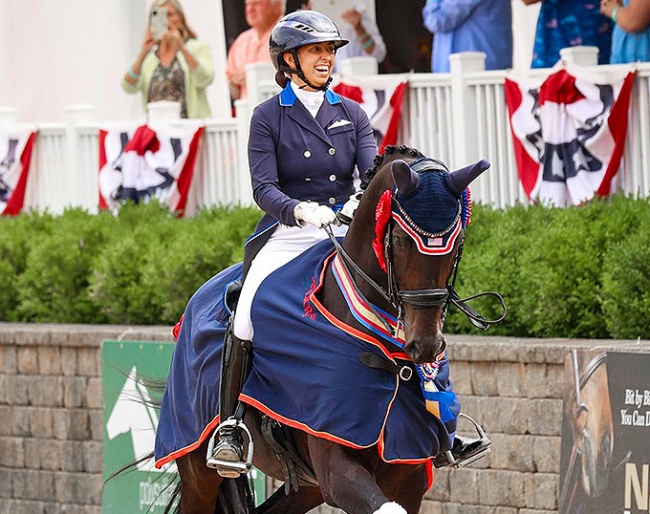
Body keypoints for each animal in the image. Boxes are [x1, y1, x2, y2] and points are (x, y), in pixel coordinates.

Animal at [157, 145, 496, 512]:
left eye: (458, 242)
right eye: (401, 239)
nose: (425, 346)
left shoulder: (409, 473)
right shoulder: (337, 465)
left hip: (308, 486)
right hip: (197, 469)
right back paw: (228, 443)